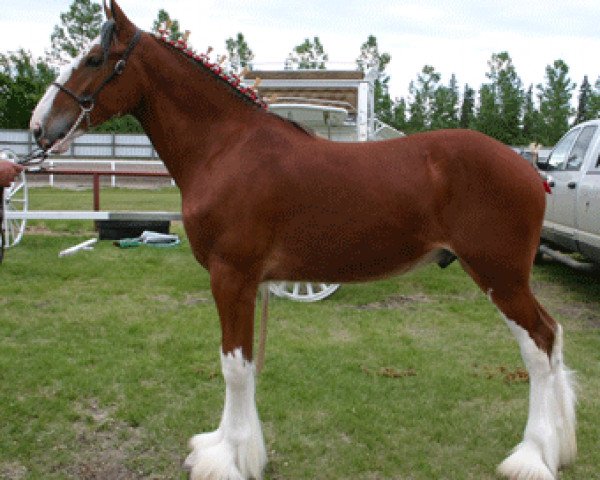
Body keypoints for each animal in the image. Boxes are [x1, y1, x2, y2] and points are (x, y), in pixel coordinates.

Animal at [29, 1, 576, 478]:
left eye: (95, 59)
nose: (38, 126)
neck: (226, 148)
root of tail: (530, 169)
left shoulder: (232, 277)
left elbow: (234, 366)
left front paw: (228, 459)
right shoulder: (247, 283)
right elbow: (242, 362)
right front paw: (222, 445)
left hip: (500, 277)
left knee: (539, 347)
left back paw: (531, 457)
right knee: (552, 338)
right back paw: (557, 448)